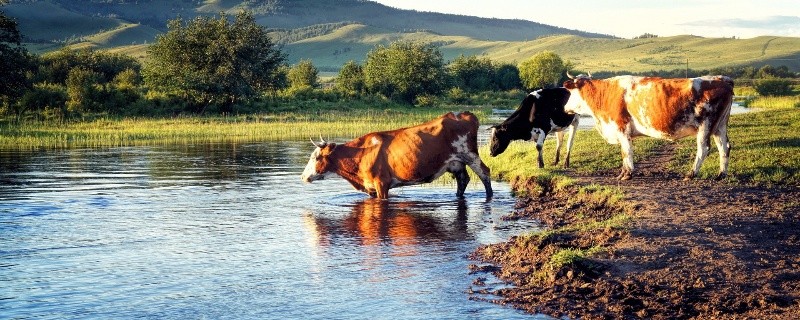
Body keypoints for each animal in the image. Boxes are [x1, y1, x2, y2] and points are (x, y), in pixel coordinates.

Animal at [298, 111, 490, 199]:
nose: (302, 177)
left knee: (485, 173)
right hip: (456, 163)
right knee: (463, 180)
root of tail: (463, 114)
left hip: (470, 155)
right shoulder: (370, 187)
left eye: (316, 157)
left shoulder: (382, 183)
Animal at [560, 73, 736, 181]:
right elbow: (625, 152)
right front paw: (623, 172)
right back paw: (721, 174)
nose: (565, 108)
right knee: (724, 147)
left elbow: (626, 151)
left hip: (705, 125)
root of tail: (721, 79)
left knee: (704, 148)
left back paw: (691, 174)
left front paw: (627, 174)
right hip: (720, 126)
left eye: (570, 92)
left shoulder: (622, 128)